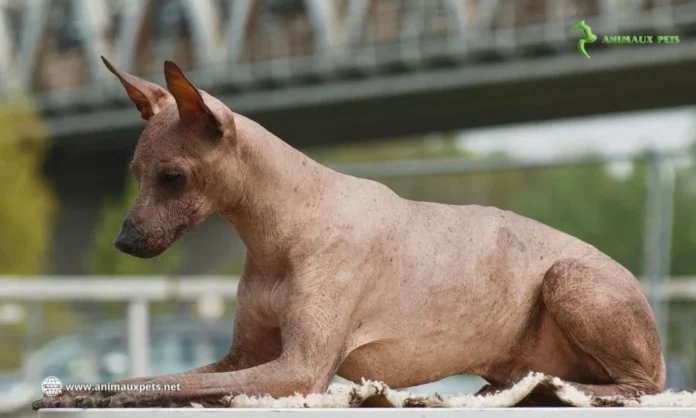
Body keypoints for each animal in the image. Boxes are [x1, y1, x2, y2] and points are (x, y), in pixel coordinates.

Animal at [35, 58, 668, 408]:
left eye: (172, 178)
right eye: (135, 175)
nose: (123, 244)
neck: (280, 232)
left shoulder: (298, 370)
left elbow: (168, 383)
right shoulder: (241, 357)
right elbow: (153, 377)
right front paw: (81, 390)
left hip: (569, 278)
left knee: (641, 385)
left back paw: (545, 390)